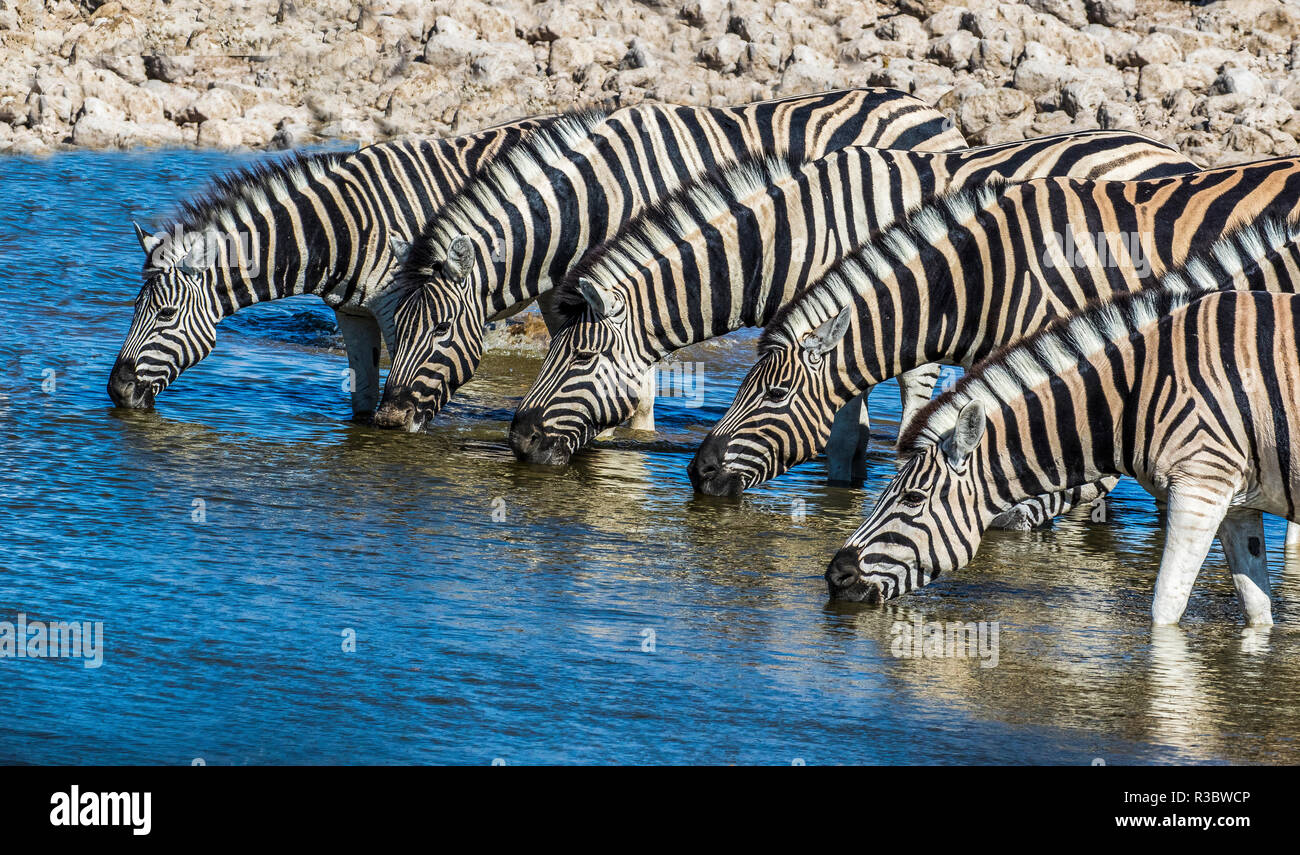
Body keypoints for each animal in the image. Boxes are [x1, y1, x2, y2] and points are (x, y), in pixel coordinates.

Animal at [107, 115, 553, 418]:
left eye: (166, 314)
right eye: (134, 308)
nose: (116, 391)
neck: (342, 230)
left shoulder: (401, 312)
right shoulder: (351, 314)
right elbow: (363, 395)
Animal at [370, 88, 968, 432]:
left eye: (442, 329)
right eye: (397, 327)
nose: (389, 417)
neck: (594, 199)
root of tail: (926, 107)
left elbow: (636, 381)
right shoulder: (573, 294)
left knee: (916, 381)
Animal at [825, 213, 1300, 626]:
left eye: (913, 499)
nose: (835, 575)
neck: (1140, 388)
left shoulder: (1200, 489)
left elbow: (1165, 609)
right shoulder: (1239, 505)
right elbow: (1258, 613)